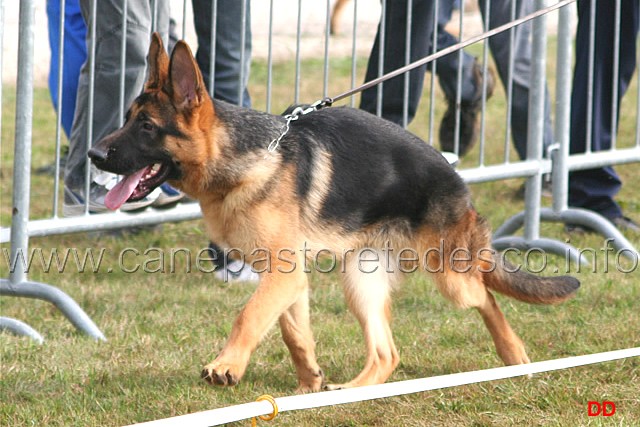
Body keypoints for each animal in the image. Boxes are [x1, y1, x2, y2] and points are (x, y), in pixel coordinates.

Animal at [89, 35, 580, 392]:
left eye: (146, 127)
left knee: (486, 297)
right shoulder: (286, 278)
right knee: (387, 353)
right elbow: (292, 332)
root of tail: (458, 181)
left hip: (449, 276)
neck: (241, 159)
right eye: (128, 118)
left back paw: (513, 356)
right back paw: (350, 391)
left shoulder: (283, 276)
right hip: (361, 280)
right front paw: (308, 383)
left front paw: (227, 364)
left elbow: (248, 315)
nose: (93, 154)